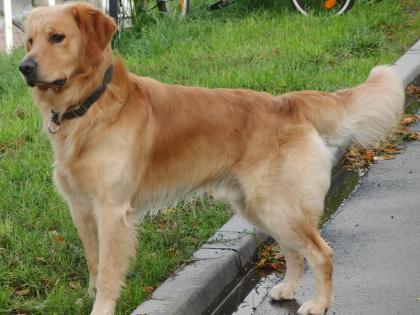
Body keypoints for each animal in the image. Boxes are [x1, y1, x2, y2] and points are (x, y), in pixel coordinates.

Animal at [19, 2, 404, 315]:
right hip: (259, 207)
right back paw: (288, 289)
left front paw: (101, 306)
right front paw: (88, 295)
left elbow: (109, 271)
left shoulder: (112, 211)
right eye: (29, 41)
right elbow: (93, 262)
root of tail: (285, 102)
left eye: (57, 37)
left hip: (276, 204)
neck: (90, 105)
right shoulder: (81, 208)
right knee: (294, 251)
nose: (24, 67)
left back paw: (319, 303)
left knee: (321, 252)